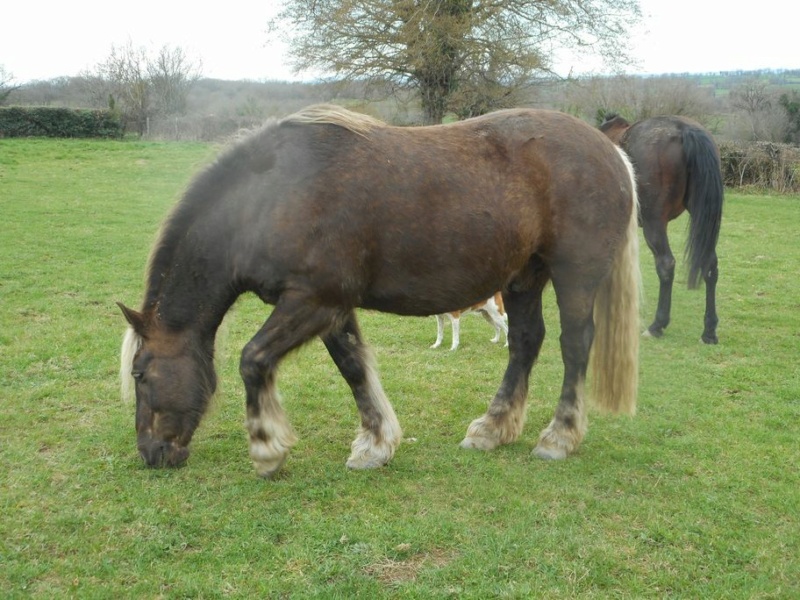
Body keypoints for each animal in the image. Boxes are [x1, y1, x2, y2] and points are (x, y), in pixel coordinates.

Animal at [120, 104, 644, 478]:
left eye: (140, 374)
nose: (151, 452)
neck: (272, 196)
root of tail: (611, 152)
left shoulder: (312, 301)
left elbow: (253, 359)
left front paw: (267, 449)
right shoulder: (330, 307)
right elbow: (353, 367)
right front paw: (376, 444)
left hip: (575, 277)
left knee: (574, 345)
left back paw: (559, 437)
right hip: (523, 278)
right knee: (524, 342)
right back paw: (493, 429)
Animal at [600, 114, 724, 344]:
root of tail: (683, 129)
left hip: (654, 223)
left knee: (666, 264)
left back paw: (657, 325)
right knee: (710, 265)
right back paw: (709, 330)